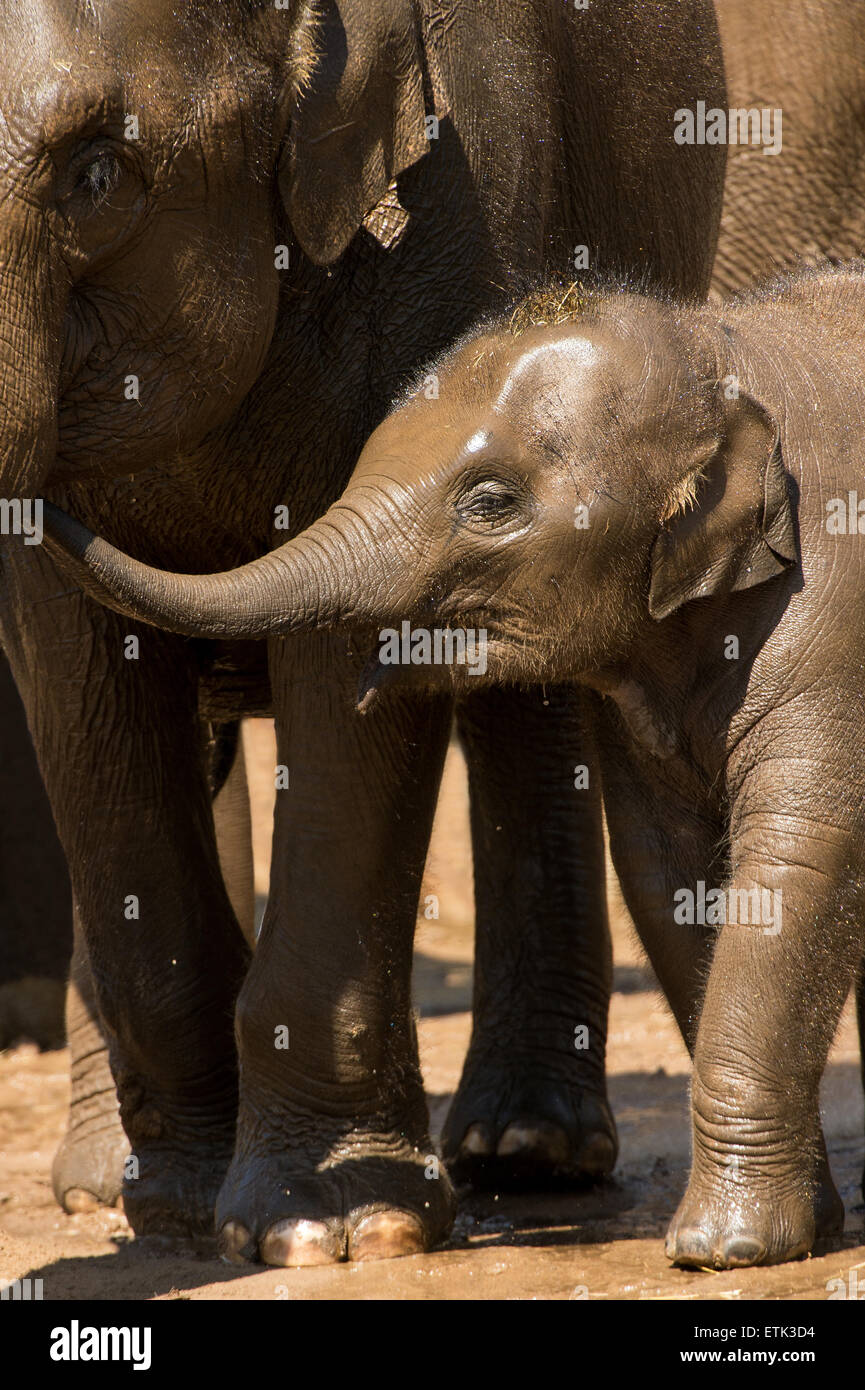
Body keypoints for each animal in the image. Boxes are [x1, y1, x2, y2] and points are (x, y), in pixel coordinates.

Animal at [0, 0, 723, 1262]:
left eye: (94, 175)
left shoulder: (451, 197)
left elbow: (349, 660)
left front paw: (332, 1226)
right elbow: (76, 670)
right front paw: (178, 1211)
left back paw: (527, 1152)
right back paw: (101, 1179)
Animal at [44, 262, 865, 1273]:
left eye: (491, 504)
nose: (42, 492)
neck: (726, 351)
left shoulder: (831, 622)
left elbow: (794, 868)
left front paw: (724, 1250)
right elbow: (670, 879)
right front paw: (797, 1232)